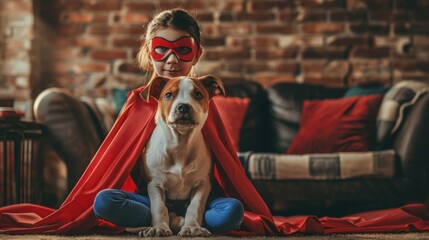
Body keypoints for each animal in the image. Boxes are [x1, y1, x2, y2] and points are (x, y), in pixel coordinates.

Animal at [132, 75, 226, 236]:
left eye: (198, 94)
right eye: (168, 95)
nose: (183, 107)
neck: (180, 146)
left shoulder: (202, 184)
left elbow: (195, 207)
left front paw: (192, 227)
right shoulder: (155, 183)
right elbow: (159, 207)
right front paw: (160, 228)